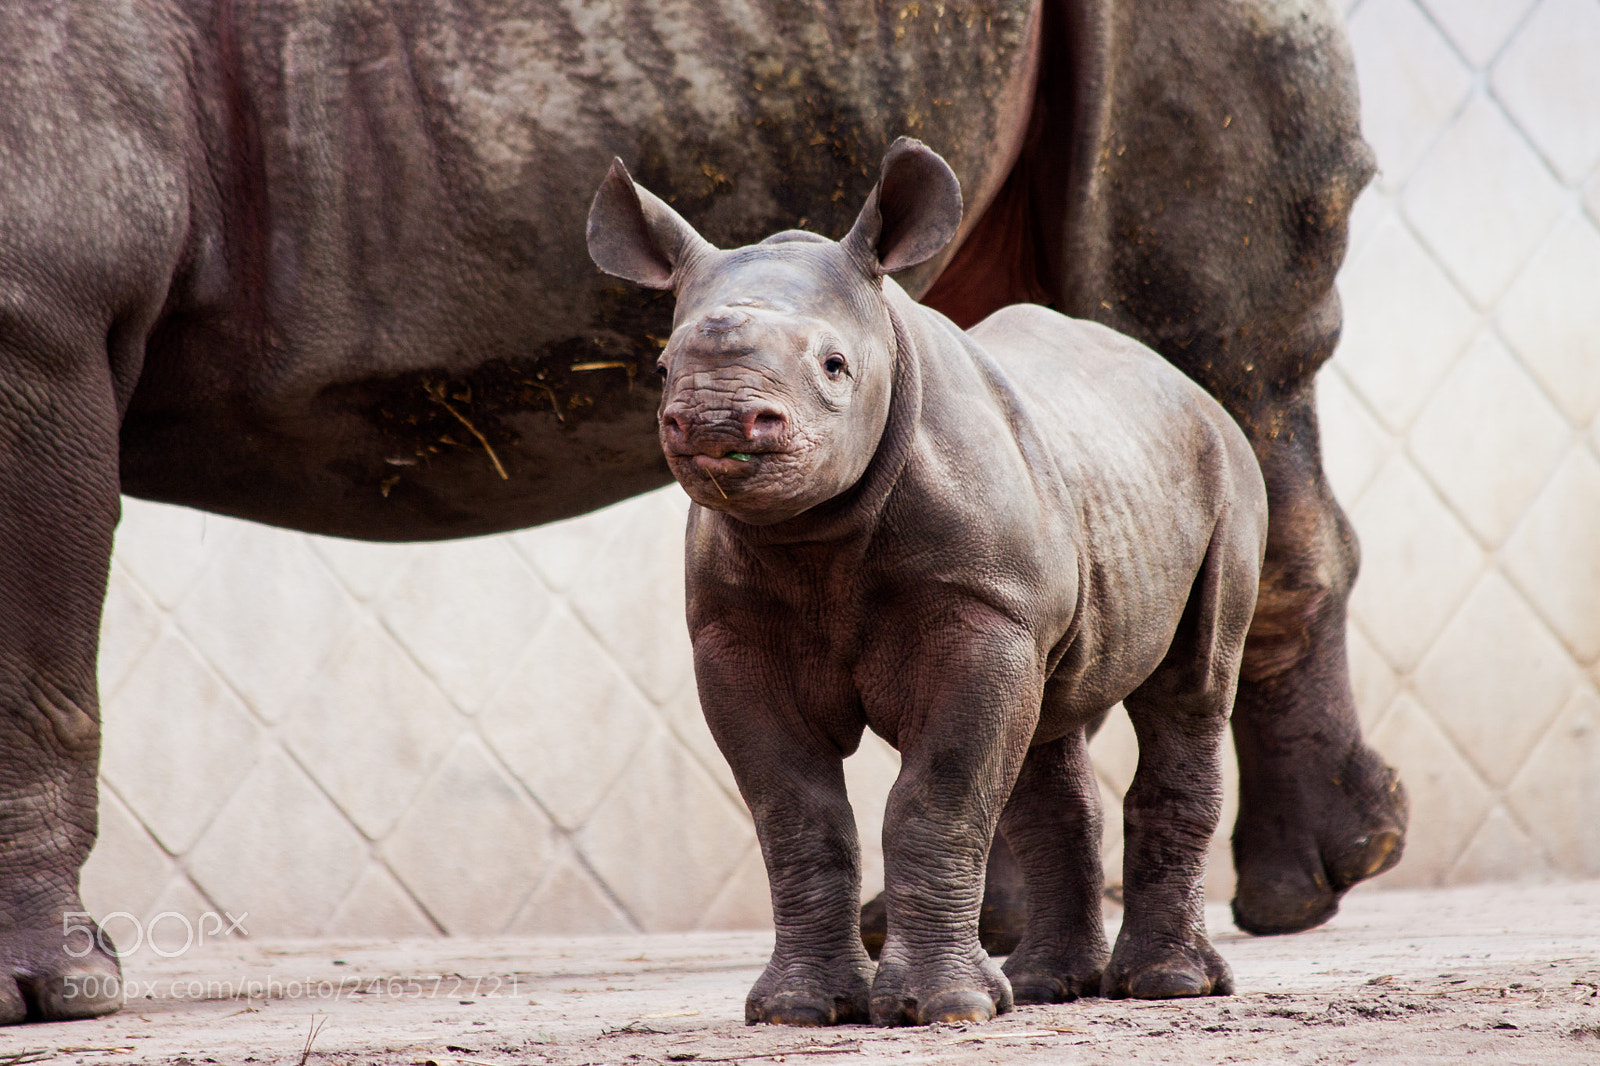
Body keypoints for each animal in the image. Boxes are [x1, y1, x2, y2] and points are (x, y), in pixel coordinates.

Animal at [0, 0, 1402, 1024]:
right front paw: (801, 1009)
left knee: (1212, 385)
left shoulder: (37, 311)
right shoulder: (739, 635)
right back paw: (1043, 974)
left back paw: (1248, 924)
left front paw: (51, 991)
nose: (721, 419)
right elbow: (799, 808)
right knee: (1053, 691)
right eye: (664, 363)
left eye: (833, 366)